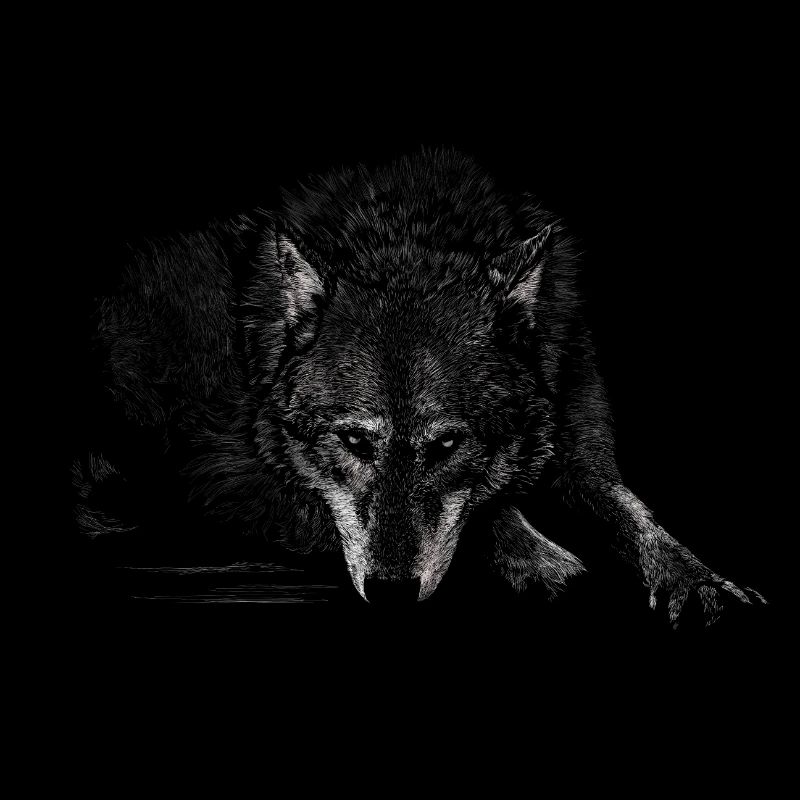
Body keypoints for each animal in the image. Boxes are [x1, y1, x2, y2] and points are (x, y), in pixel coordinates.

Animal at [74, 148, 765, 623]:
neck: (408, 236)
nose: (390, 593)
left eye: (447, 446)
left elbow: (637, 516)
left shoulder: (585, 461)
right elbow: (492, 511)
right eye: (355, 442)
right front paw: (543, 560)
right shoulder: (224, 473)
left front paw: (699, 580)